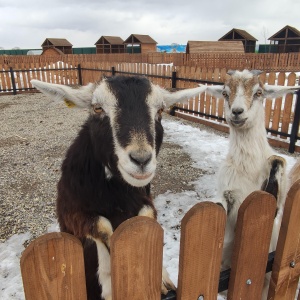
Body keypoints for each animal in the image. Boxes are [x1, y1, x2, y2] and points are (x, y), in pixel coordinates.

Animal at [31, 76, 206, 298]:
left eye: (160, 111)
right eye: (97, 108)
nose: (141, 160)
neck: (115, 196)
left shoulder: (145, 198)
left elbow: (146, 216)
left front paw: (161, 280)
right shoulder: (71, 212)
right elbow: (102, 226)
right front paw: (109, 281)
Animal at [204, 69, 298, 298]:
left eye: (258, 92)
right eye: (224, 93)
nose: (237, 112)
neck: (247, 168)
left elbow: (277, 161)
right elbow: (221, 202)